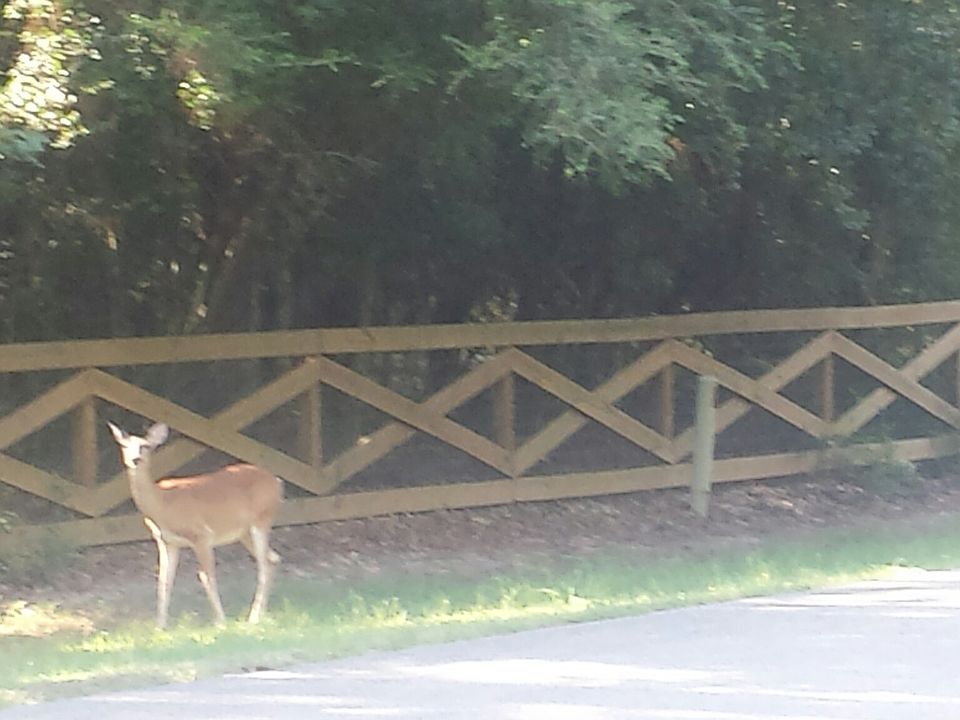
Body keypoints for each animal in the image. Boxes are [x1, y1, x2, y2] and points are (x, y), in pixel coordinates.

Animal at [107, 421, 283, 630]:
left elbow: (206, 577)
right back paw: (260, 615)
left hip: (261, 519)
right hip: (244, 532)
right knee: (273, 559)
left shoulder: (201, 535)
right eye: (124, 446)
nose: (135, 459)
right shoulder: (166, 542)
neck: (163, 505)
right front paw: (160, 626)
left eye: (145, 446)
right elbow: (164, 581)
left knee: (264, 565)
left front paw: (221, 622)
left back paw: (253, 618)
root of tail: (277, 481)